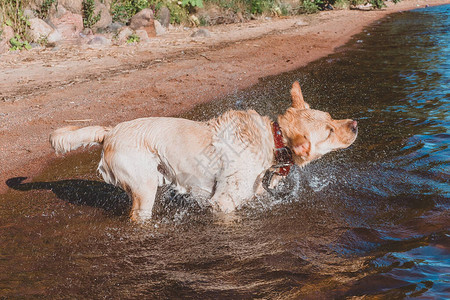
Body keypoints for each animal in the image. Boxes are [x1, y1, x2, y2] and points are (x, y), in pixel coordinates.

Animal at [50, 81, 358, 220]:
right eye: (329, 132)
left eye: (331, 118)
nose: (355, 124)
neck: (273, 140)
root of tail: (109, 131)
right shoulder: (223, 202)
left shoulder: (251, 189)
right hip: (144, 189)